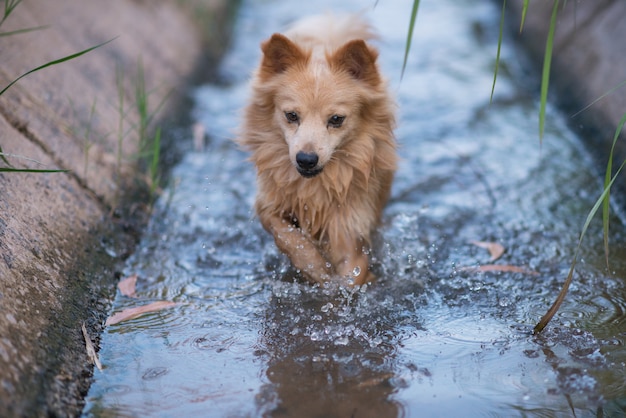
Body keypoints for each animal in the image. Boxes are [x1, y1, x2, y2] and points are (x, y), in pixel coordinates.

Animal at [239, 13, 394, 288]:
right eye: (291, 115)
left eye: (336, 119)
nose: (306, 159)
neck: (314, 191)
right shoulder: (268, 203)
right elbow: (286, 234)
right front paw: (314, 266)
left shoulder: (350, 228)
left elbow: (352, 273)